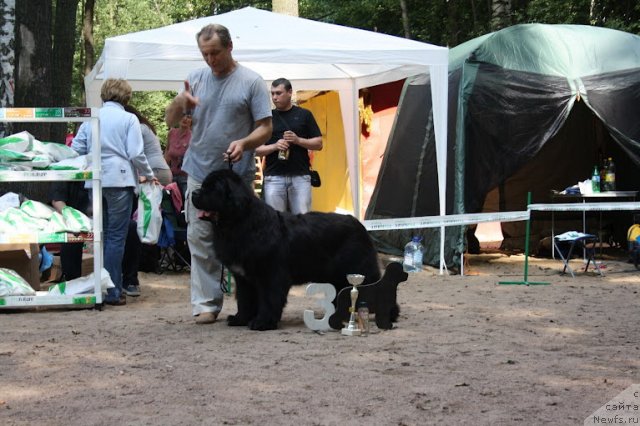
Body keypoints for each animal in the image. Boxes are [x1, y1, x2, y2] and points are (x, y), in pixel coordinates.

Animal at [190, 169, 380, 330]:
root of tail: (358, 224)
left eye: (213, 188)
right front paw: (240, 319)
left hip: (356, 270)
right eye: (203, 185)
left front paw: (262, 322)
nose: (194, 193)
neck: (239, 223)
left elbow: (268, 299)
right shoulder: (244, 278)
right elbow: (244, 300)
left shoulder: (270, 274)